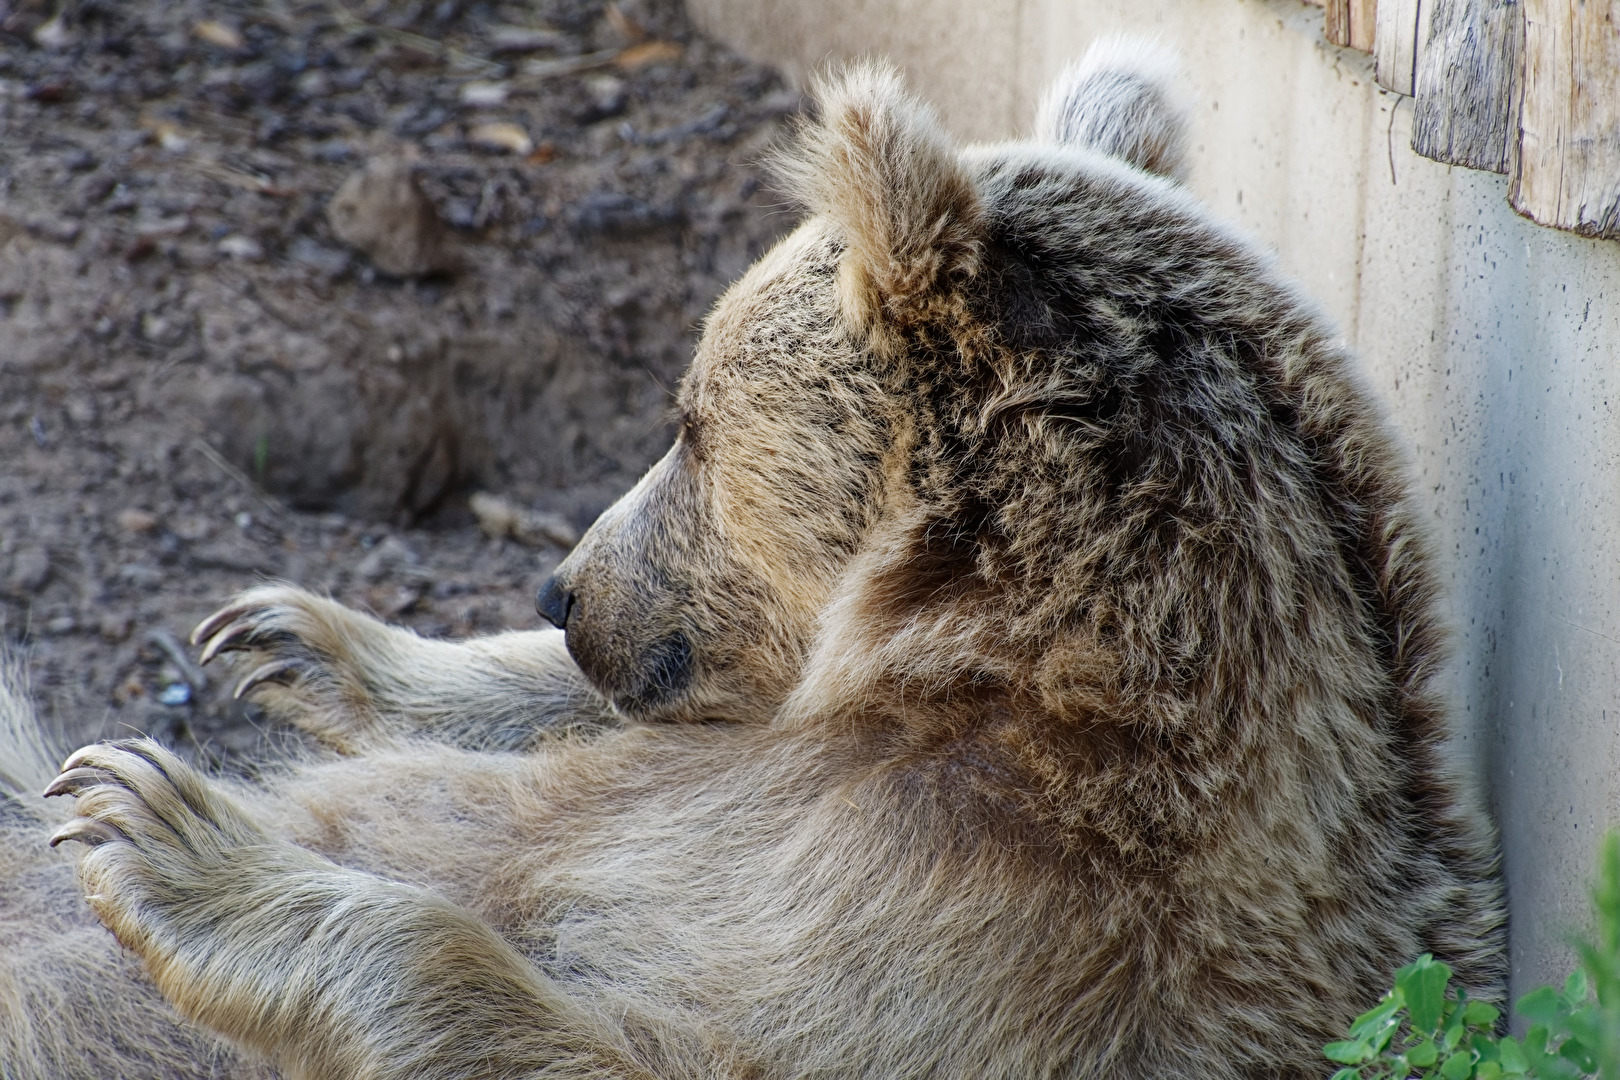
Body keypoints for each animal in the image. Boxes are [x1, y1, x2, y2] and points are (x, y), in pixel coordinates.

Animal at [6, 40, 1509, 1080]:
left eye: (687, 420)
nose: (566, 589)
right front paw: (295, 644)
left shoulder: (1019, 934)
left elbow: (620, 1024)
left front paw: (162, 834)